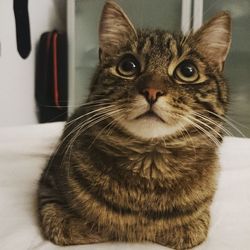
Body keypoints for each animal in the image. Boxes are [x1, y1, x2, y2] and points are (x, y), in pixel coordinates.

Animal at [38, 0, 231, 249]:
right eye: (127, 66)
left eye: (187, 71)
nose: (152, 91)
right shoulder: (49, 184)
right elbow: (62, 224)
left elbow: (195, 228)